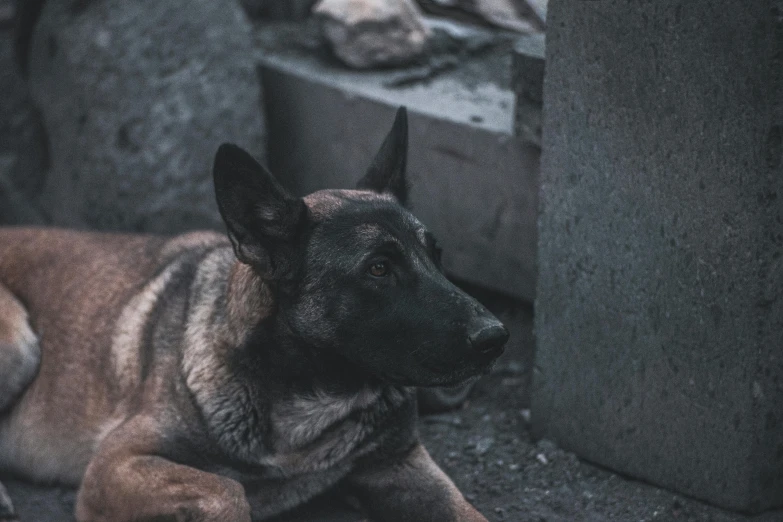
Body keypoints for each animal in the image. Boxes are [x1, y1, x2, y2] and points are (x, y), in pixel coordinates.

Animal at [0, 107, 508, 516]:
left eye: (436, 256)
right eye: (379, 269)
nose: (496, 337)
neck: (307, 399)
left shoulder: (402, 466)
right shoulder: (116, 464)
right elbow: (227, 489)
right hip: (19, 342)